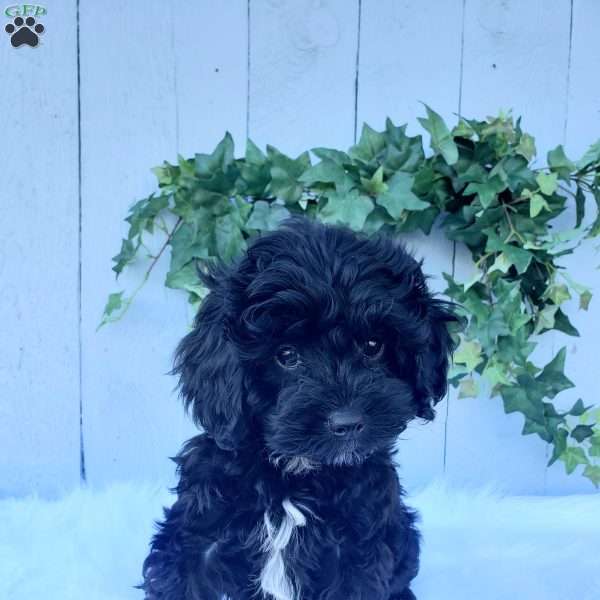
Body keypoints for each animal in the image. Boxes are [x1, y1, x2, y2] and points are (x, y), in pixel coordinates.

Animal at [143, 217, 458, 600]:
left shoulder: (355, 549)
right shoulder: (199, 536)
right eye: (287, 355)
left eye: (372, 345)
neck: (294, 471)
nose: (347, 423)